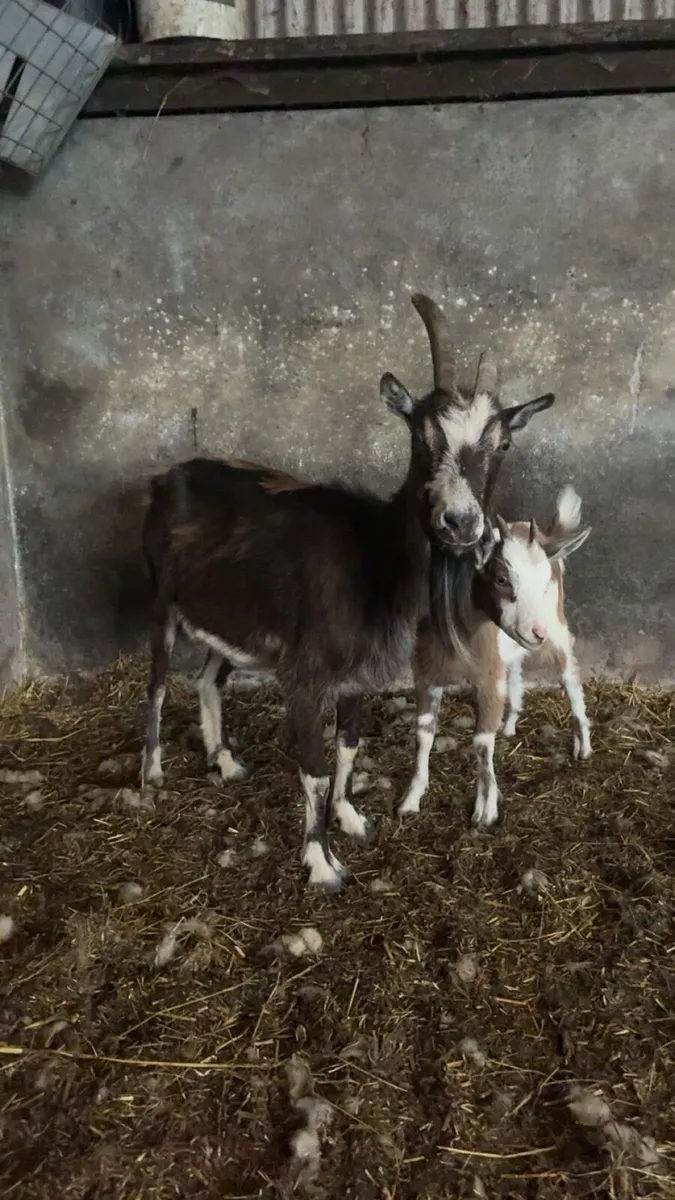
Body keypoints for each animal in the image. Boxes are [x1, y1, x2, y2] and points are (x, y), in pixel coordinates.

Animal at [141, 293, 555, 891]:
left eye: (502, 443)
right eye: (421, 435)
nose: (459, 522)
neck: (372, 557)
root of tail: (166, 477)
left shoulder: (357, 674)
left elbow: (348, 749)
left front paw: (352, 819)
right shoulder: (304, 676)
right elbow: (313, 771)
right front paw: (321, 863)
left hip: (229, 618)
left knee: (207, 678)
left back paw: (225, 761)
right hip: (161, 604)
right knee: (154, 685)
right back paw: (150, 772)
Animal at [400, 486, 592, 828]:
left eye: (542, 582)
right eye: (501, 579)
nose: (536, 632)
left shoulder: (487, 680)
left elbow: (480, 742)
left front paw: (485, 810)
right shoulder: (425, 676)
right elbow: (423, 734)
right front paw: (411, 799)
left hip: (557, 624)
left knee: (569, 673)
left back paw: (583, 743)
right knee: (515, 669)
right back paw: (511, 721)